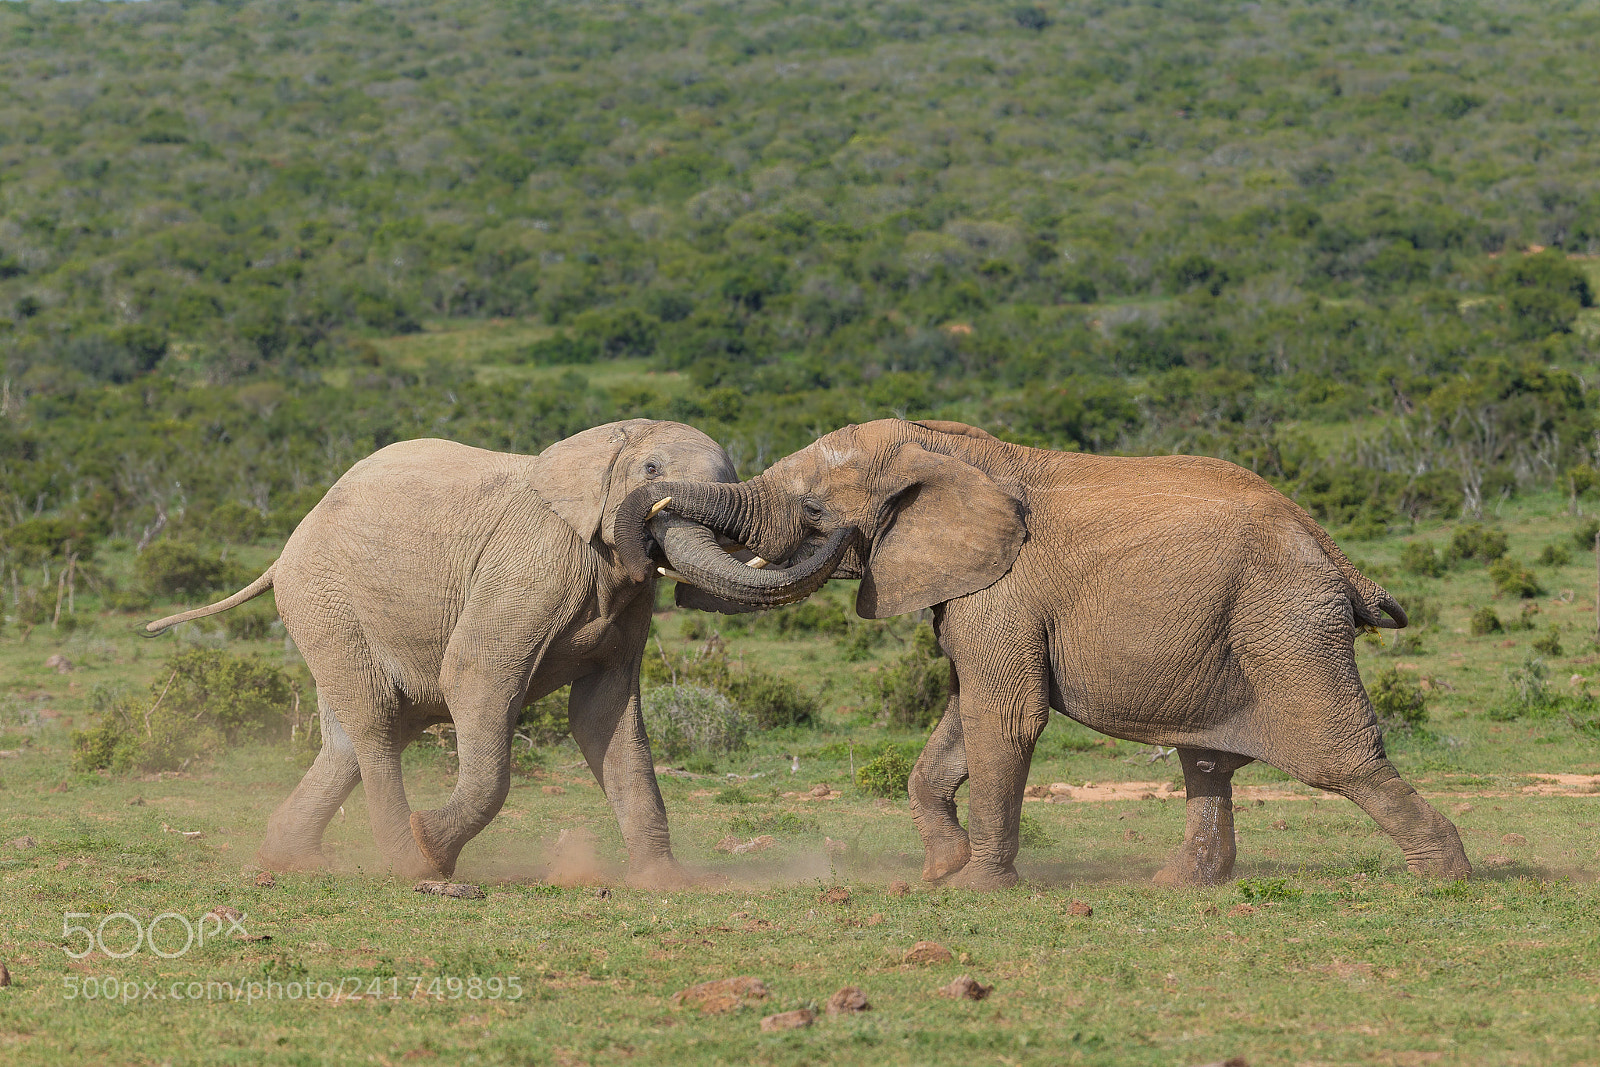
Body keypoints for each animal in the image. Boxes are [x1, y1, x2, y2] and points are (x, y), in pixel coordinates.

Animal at [144, 420, 840, 884]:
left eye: (731, 482)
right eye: (649, 471)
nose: (826, 518)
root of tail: (288, 545)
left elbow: (606, 716)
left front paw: (662, 883)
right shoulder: (530, 566)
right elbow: (475, 677)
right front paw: (432, 846)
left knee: (352, 736)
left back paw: (291, 859)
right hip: (324, 600)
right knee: (375, 725)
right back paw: (412, 863)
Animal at [616, 417, 1470, 889]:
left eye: (814, 506)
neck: (944, 447)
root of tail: (1332, 548)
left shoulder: (1004, 589)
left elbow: (1005, 719)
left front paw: (977, 886)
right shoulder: (975, 593)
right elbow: (960, 721)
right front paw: (940, 872)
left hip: (1286, 622)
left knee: (1341, 756)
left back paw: (1443, 876)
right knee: (1206, 759)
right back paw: (1179, 884)